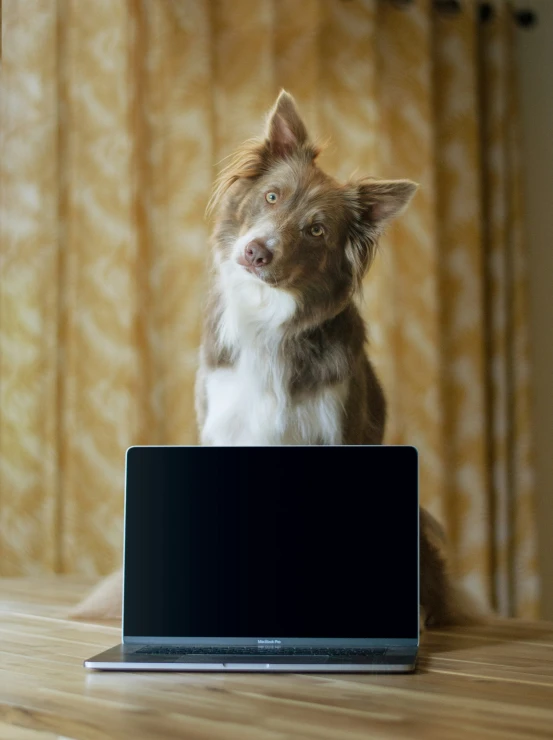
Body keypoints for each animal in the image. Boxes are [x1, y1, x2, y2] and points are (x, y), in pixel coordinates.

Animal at [72, 89, 484, 628]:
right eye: (272, 197)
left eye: (316, 230)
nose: (255, 252)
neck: (270, 320)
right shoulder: (223, 423)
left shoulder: (335, 431)